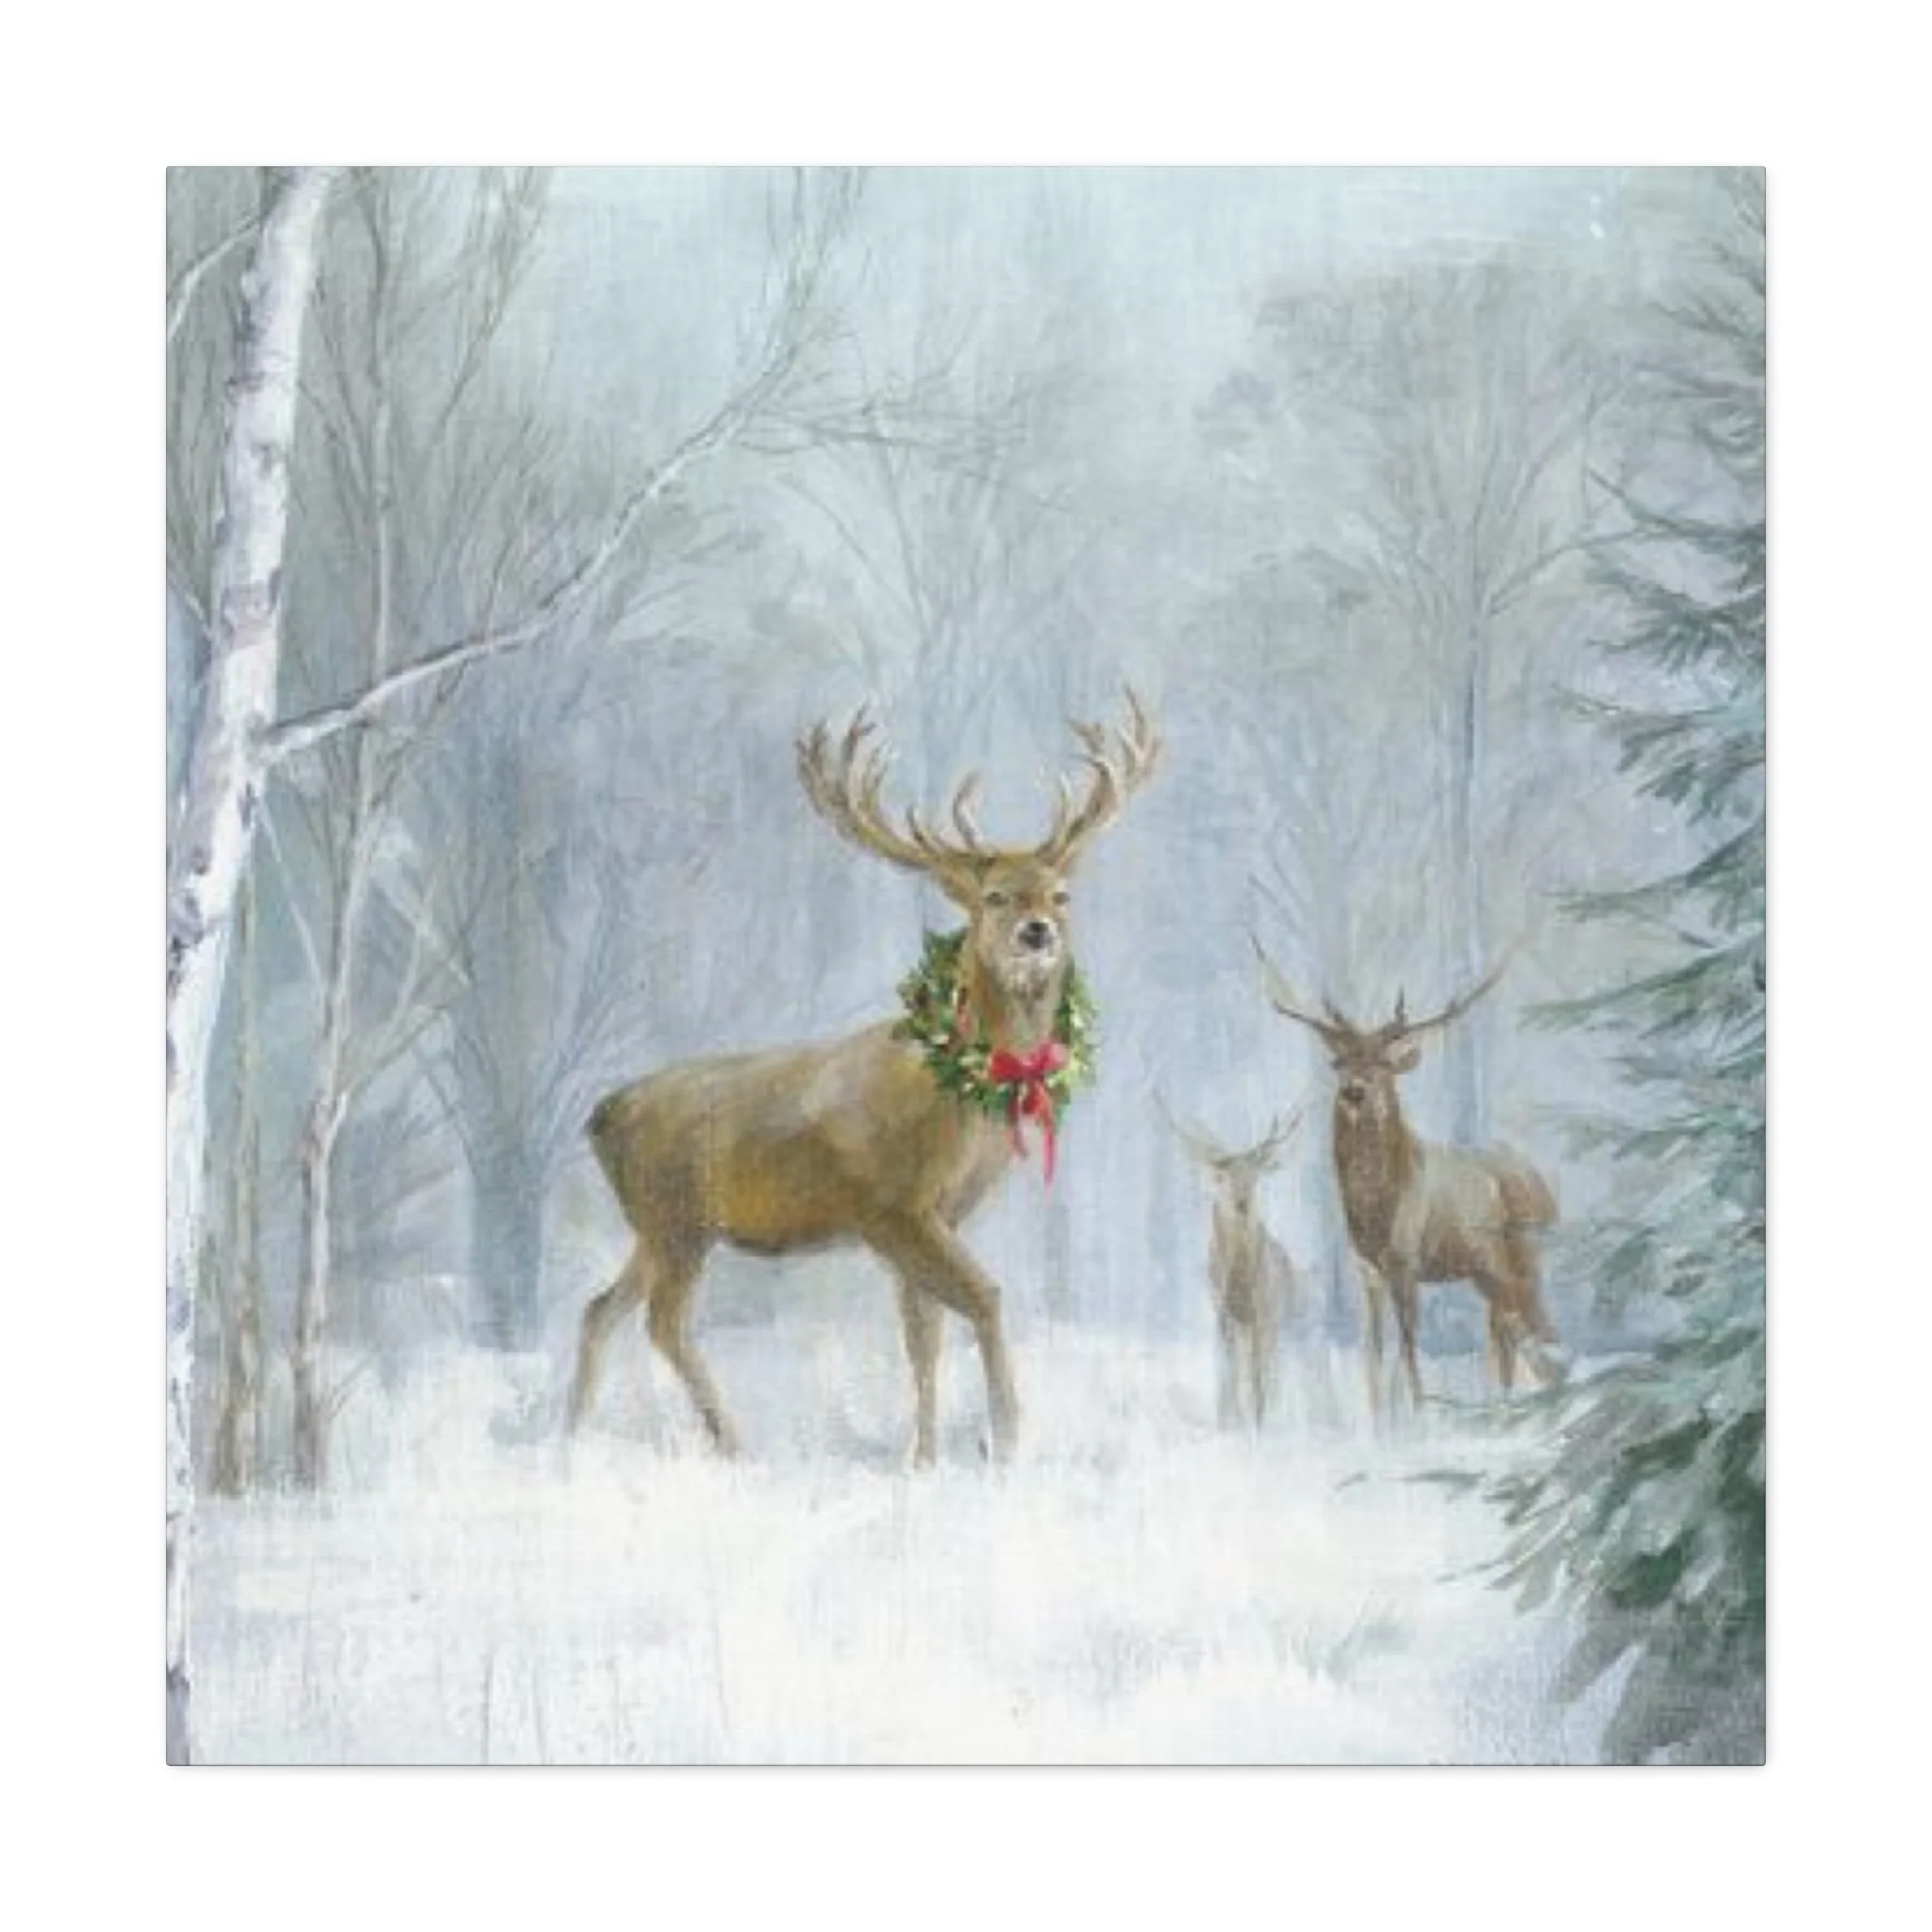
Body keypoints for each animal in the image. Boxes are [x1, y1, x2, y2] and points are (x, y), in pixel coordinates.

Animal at [566, 692, 1160, 1466]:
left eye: (1061, 894)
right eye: (996, 897)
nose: (1038, 931)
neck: (960, 1104)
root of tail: (601, 1116)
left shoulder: (936, 1213)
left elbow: (922, 1334)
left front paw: (925, 1459)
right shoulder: (891, 1204)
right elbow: (984, 1298)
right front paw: (1004, 1441)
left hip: (656, 1227)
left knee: (599, 1307)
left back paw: (569, 1433)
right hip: (676, 1219)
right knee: (663, 1322)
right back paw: (733, 1443)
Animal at [1161, 1103, 1304, 1429]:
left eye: (1255, 1176)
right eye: (1223, 1177)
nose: (1243, 1203)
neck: (1240, 1278)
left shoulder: (1263, 1311)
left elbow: (1258, 1375)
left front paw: (1259, 1424)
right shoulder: (1223, 1312)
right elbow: (1227, 1372)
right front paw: (1228, 1421)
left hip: (1276, 1318)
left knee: (1271, 1367)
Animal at [1250, 937, 1561, 1411]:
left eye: (1383, 1063)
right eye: (1342, 1061)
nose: (1354, 1091)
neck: (1374, 1207)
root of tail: (1547, 1191)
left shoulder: (1405, 1259)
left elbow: (1409, 1341)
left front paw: (1417, 1409)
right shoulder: (1366, 1268)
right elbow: (1374, 1348)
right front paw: (1378, 1413)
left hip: (1521, 1252)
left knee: (1531, 1328)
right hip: (1486, 1269)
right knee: (1506, 1331)